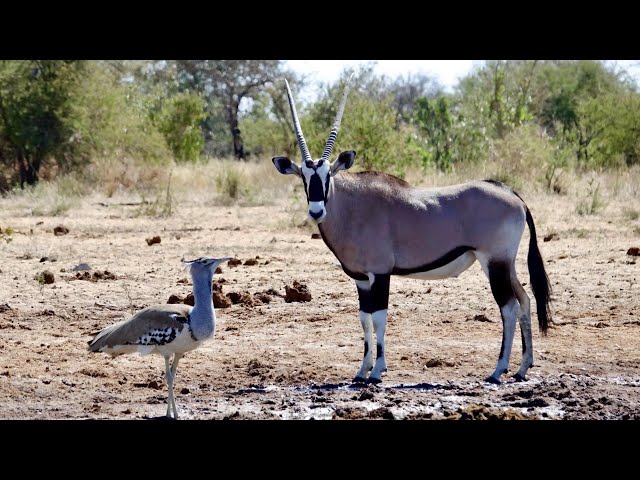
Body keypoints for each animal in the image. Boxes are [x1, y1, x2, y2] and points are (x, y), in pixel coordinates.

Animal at [272, 77, 552, 385]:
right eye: (304, 177)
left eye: (328, 176)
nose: (316, 211)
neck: (353, 206)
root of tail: (513, 195)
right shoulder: (361, 279)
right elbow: (364, 319)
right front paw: (361, 371)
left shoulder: (380, 274)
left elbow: (379, 317)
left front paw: (377, 372)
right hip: (505, 264)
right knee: (524, 300)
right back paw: (522, 368)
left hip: (494, 262)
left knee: (509, 307)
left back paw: (498, 370)